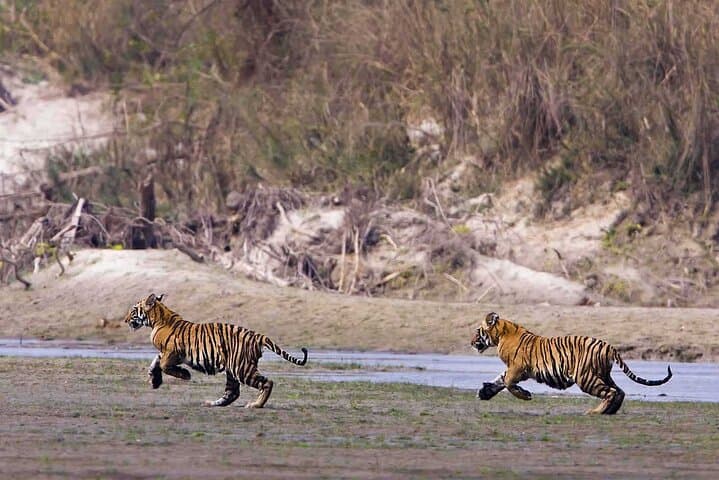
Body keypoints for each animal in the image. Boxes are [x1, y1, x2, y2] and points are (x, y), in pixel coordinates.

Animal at [124, 293, 308, 408]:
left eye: (133, 310)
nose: (125, 320)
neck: (157, 320)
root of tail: (257, 335)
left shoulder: (172, 352)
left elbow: (163, 365)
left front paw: (184, 375)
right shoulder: (165, 352)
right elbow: (155, 362)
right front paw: (154, 380)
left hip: (241, 368)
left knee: (266, 382)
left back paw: (256, 405)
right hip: (233, 370)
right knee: (232, 393)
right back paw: (211, 403)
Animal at [471, 312, 672, 414]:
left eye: (478, 331)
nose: (471, 342)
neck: (502, 334)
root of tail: (608, 346)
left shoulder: (517, 368)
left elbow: (507, 383)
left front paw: (525, 395)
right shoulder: (514, 369)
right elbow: (500, 380)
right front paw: (484, 392)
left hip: (585, 378)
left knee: (611, 392)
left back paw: (596, 412)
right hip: (601, 374)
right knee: (620, 391)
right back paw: (610, 411)